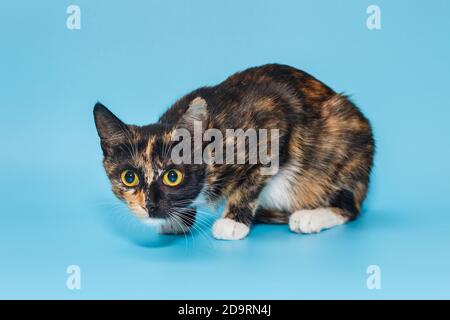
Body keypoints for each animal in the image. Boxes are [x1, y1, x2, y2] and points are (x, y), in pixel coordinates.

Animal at [93, 63, 374, 240]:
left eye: (173, 176)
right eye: (129, 177)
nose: (150, 206)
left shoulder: (273, 125)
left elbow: (250, 183)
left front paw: (233, 222)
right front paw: (178, 220)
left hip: (345, 138)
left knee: (351, 208)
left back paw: (311, 217)